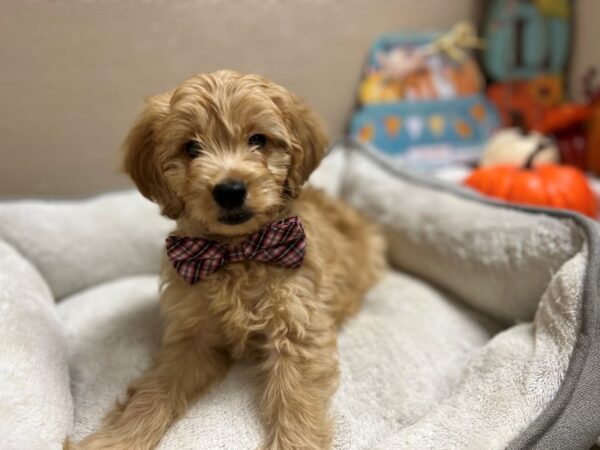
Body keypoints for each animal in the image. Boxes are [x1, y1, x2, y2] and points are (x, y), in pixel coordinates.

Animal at [71, 70, 384, 450]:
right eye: (191, 148)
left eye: (258, 140)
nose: (230, 190)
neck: (236, 252)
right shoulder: (193, 336)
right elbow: (156, 389)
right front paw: (118, 438)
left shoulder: (297, 327)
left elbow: (295, 403)